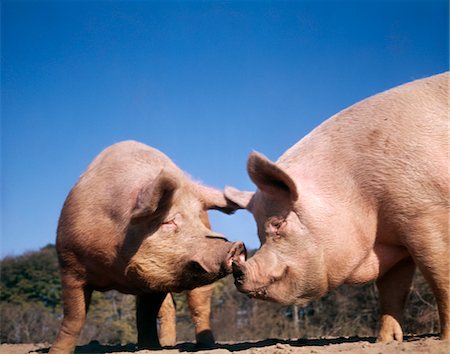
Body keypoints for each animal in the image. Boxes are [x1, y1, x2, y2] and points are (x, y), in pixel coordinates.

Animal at [51, 142, 246, 354]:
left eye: (197, 219)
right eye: (168, 221)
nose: (235, 246)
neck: (117, 265)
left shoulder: (156, 278)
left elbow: (145, 314)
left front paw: (149, 348)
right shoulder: (69, 264)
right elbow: (74, 317)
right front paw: (57, 351)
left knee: (199, 308)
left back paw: (205, 346)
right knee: (170, 307)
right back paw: (168, 344)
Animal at [227, 72, 448, 342]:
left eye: (278, 224)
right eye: (258, 233)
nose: (237, 271)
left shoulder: (425, 212)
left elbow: (439, 276)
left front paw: (444, 339)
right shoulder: (395, 244)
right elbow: (391, 293)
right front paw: (385, 341)